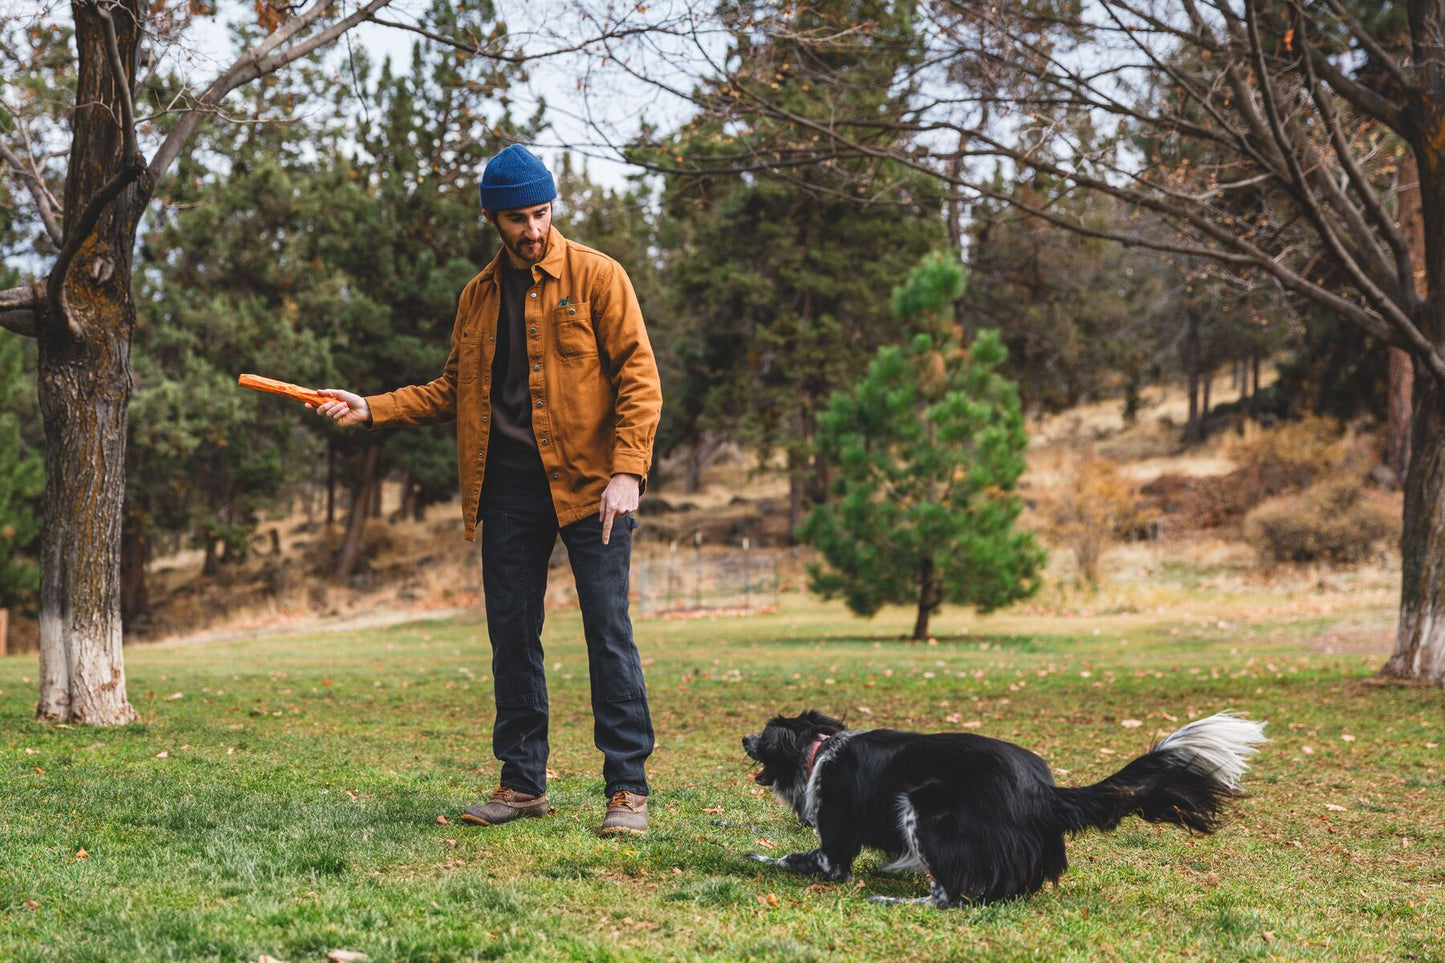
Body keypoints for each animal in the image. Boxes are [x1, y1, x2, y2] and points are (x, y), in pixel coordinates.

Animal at [745, 705, 1265, 902]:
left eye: (765, 734)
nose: (743, 738)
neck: (819, 750)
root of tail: (1043, 792)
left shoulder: (834, 850)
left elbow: (790, 858)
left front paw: (755, 857)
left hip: (924, 808)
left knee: (951, 897)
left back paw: (894, 898)